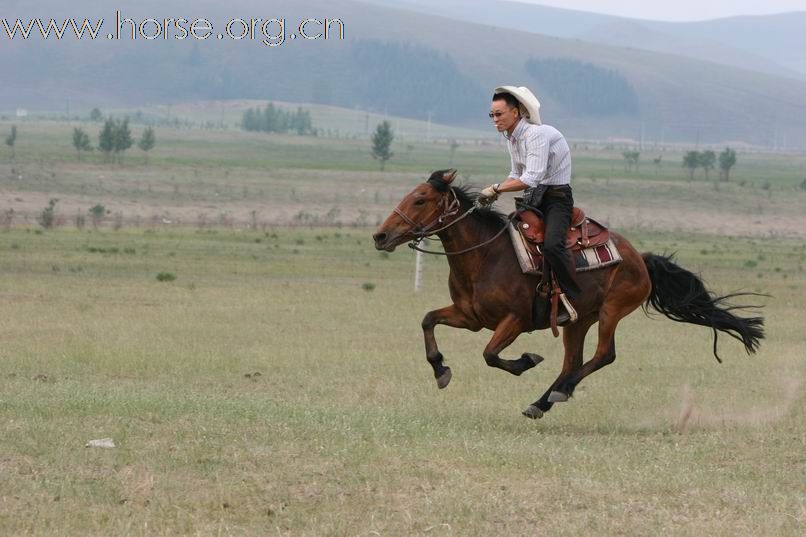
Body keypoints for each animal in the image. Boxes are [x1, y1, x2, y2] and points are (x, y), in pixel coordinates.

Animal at [372, 169, 764, 418]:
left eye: (420, 199)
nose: (380, 236)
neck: (485, 255)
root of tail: (639, 257)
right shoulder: (470, 317)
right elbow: (428, 320)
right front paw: (441, 369)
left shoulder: (515, 320)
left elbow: (490, 355)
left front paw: (527, 360)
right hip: (578, 321)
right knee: (572, 363)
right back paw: (541, 402)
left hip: (611, 311)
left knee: (603, 356)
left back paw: (557, 393)